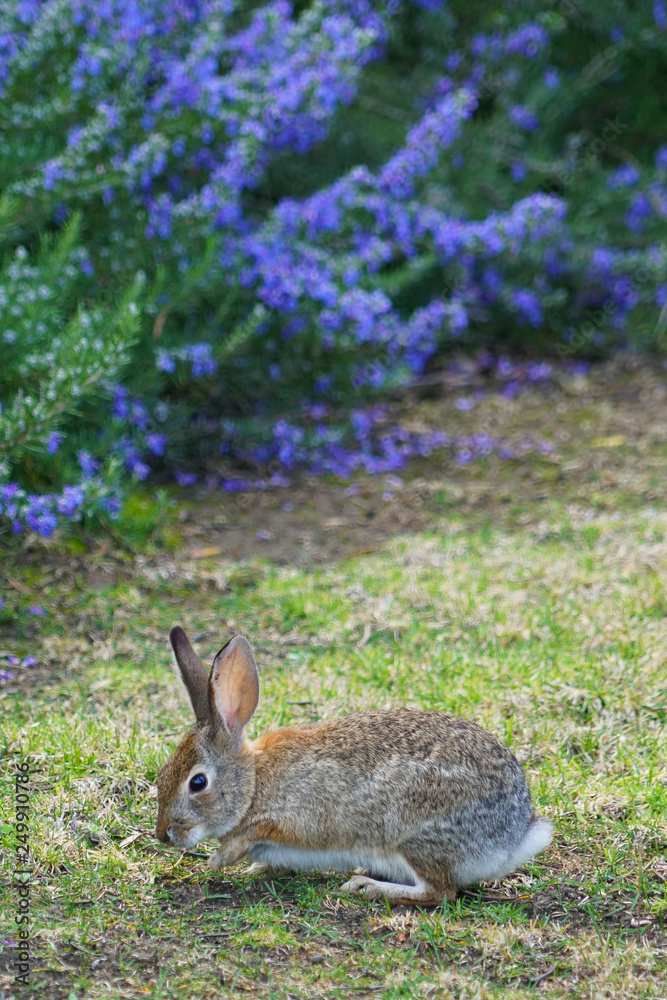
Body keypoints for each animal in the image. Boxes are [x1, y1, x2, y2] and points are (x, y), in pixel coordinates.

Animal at [155, 626, 553, 906]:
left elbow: (262, 830)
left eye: (198, 783)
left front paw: (220, 858)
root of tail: (514, 834)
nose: (164, 835)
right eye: (161, 776)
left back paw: (368, 886)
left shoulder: (300, 815)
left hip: (415, 833)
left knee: (439, 892)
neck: (254, 783)